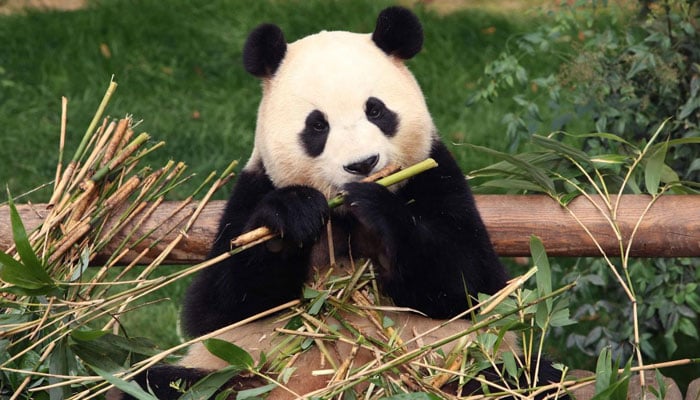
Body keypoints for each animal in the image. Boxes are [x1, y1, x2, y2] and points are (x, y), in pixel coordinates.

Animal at [110, 6, 568, 400]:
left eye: (376, 111)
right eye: (317, 125)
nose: (362, 164)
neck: (344, 221)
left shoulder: (436, 176)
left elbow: (471, 281)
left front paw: (378, 210)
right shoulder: (252, 189)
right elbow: (217, 306)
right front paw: (291, 217)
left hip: (466, 368)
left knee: (526, 379)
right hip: (231, 376)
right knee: (156, 383)